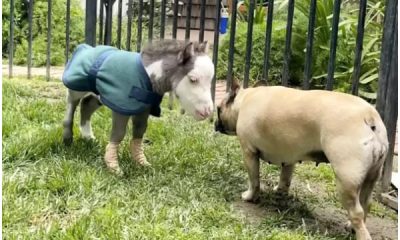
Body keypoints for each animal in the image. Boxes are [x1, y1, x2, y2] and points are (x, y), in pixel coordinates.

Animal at [216, 81, 388, 240]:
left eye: (218, 109)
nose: (215, 124)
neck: (244, 99)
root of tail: (369, 117)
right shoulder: (289, 157)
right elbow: (285, 177)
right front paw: (280, 191)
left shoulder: (249, 152)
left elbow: (254, 180)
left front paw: (250, 197)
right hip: (370, 176)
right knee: (366, 203)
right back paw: (351, 226)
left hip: (346, 178)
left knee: (356, 212)